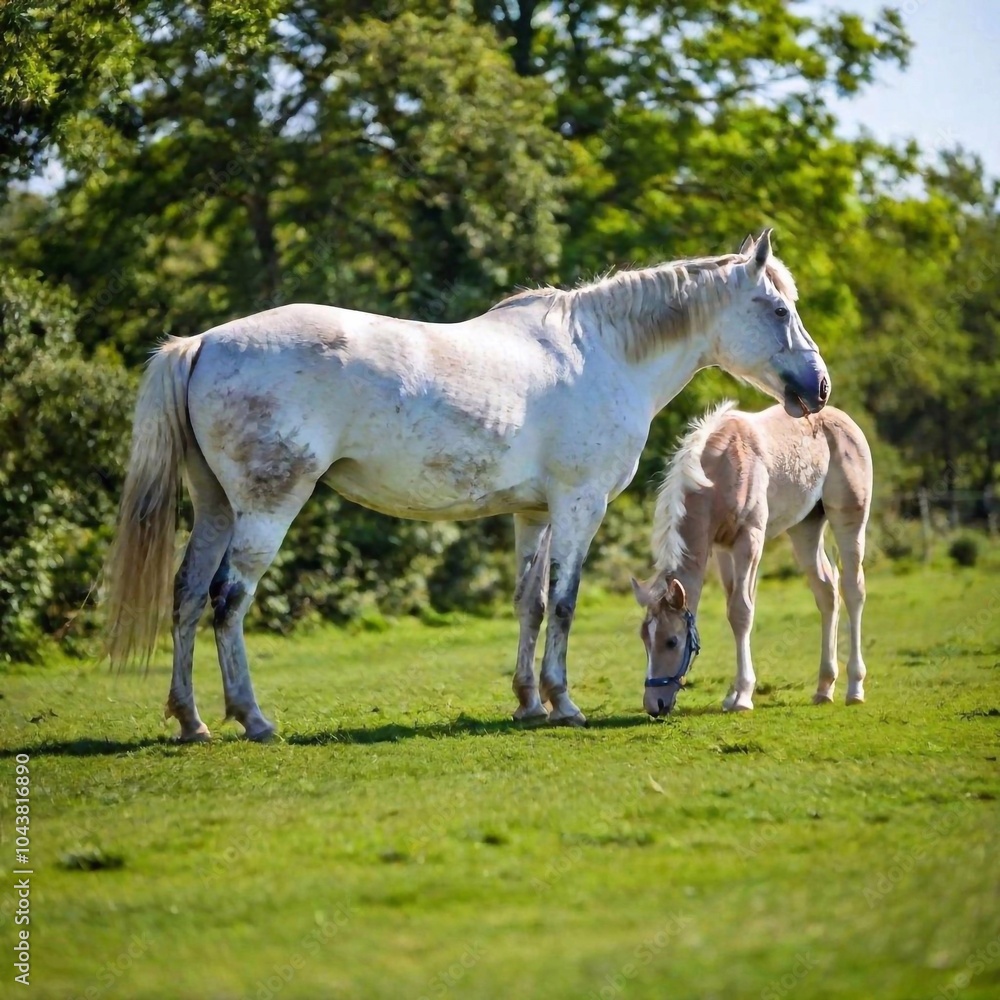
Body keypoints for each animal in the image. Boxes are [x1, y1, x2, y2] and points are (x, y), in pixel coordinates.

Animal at [103, 230, 831, 741]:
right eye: (777, 308)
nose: (818, 386)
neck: (603, 355)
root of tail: (203, 343)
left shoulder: (533, 514)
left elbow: (529, 604)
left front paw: (528, 703)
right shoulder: (579, 504)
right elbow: (564, 603)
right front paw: (564, 703)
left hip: (215, 508)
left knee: (187, 597)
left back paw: (192, 721)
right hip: (265, 509)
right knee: (228, 600)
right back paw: (252, 718)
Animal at [632, 400, 872, 717]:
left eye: (672, 641)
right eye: (644, 638)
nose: (654, 705)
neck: (719, 470)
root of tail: (846, 420)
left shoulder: (750, 538)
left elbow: (741, 611)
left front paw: (743, 696)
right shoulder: (723, 548)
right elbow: (734, 606)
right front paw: (732, 695)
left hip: (849, 520)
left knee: (853, 590)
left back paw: (855, 688)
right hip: (805, 527)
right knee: (827, 592)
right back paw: (824, 688)